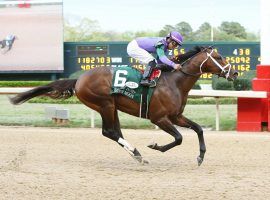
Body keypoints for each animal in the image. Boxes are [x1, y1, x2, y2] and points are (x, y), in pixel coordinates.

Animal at [8, 46, 236, 166]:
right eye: (218, 57)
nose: (233, 73)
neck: (175, 82)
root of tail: (79, 79)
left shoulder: (176, 116)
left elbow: (198, 129)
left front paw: (200, 156)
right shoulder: (159, 118)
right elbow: (179, 138)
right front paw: (155, 146)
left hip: (111, 107)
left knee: (114, 132)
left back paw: (135, 154)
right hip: (104, 104)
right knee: (109, 131)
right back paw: (137, 152)